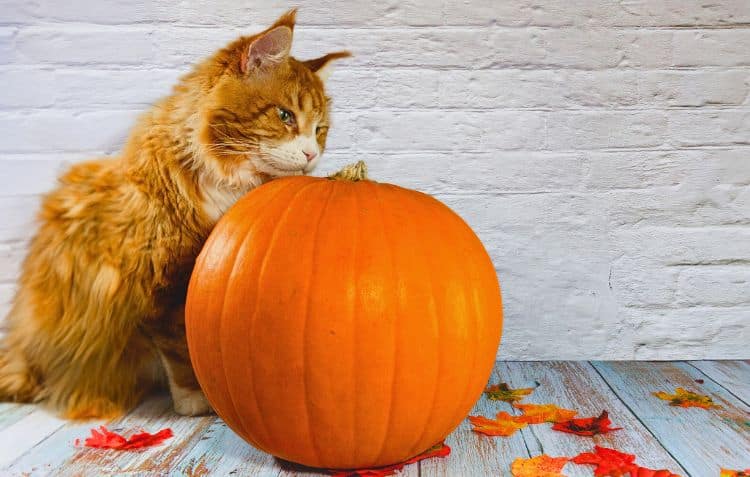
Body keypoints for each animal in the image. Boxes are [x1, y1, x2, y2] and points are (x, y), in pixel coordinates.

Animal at [0, 9, 350, 418]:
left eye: (320, 129)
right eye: (285, 116)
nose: (312, 154)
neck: (227, 184)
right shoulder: (160, 285)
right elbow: (180, 351)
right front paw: (195, 398)